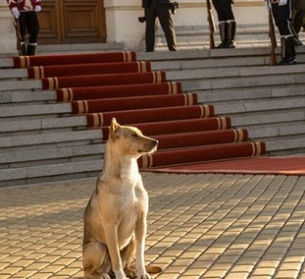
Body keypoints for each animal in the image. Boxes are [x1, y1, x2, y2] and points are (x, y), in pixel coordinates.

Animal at [83, 118, 159, 279]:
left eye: (140, 133)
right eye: (133, 135)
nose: (156, 141)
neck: (127, 174)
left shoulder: (141, 222)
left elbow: (140, 255)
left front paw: (142, 272)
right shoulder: (111, 226)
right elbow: (116, 257)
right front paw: (121, 276)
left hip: (132, 240)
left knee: (126, 263)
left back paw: (131, 271)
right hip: (97, 246)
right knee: (88, 271)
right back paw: (101, 275)